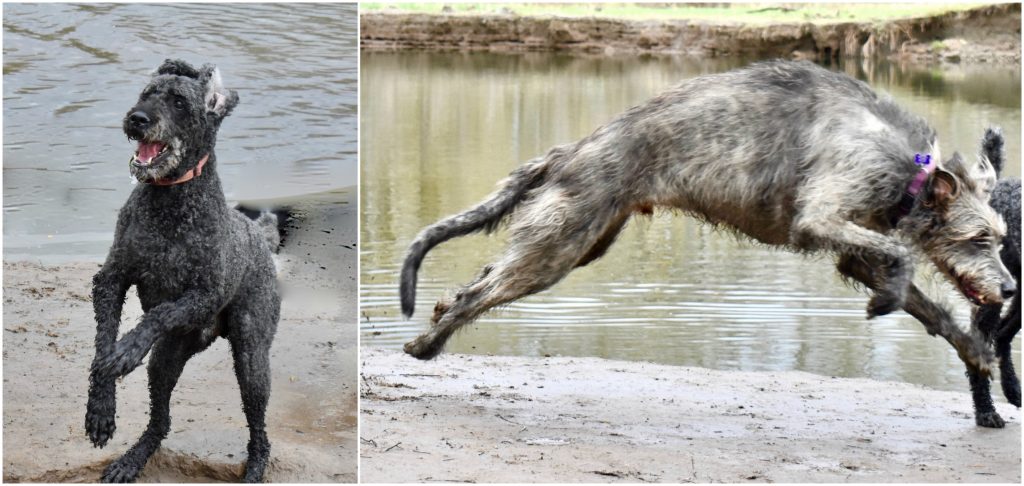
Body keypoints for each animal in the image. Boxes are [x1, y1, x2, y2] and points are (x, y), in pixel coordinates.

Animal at [85, 59, 280, 480]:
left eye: (178, 101)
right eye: (146, 92)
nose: (137, 118)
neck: (171, 198)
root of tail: (259, 234)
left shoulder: (202, 295)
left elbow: (159, 312)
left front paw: (128, 350)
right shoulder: (110, 279)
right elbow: (103, 341)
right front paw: (100, 411)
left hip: (252, 354)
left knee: (259, 426)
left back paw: (255, 467)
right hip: (167, 359)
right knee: (160, 421)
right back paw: (132, 460)